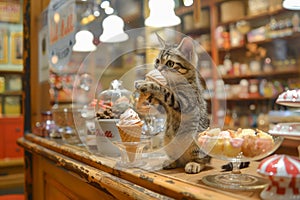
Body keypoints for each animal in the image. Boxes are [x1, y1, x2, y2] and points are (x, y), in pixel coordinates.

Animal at [135, 35, 210, 173]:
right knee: (178, 159)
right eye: (157, 61)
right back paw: (171, 162)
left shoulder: (186, 102)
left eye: (170, 63)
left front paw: (149, 84)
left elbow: (164, 91)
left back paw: (194, 164)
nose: (158, 69)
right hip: (167, 141)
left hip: (197, 141)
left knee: (203, 160)